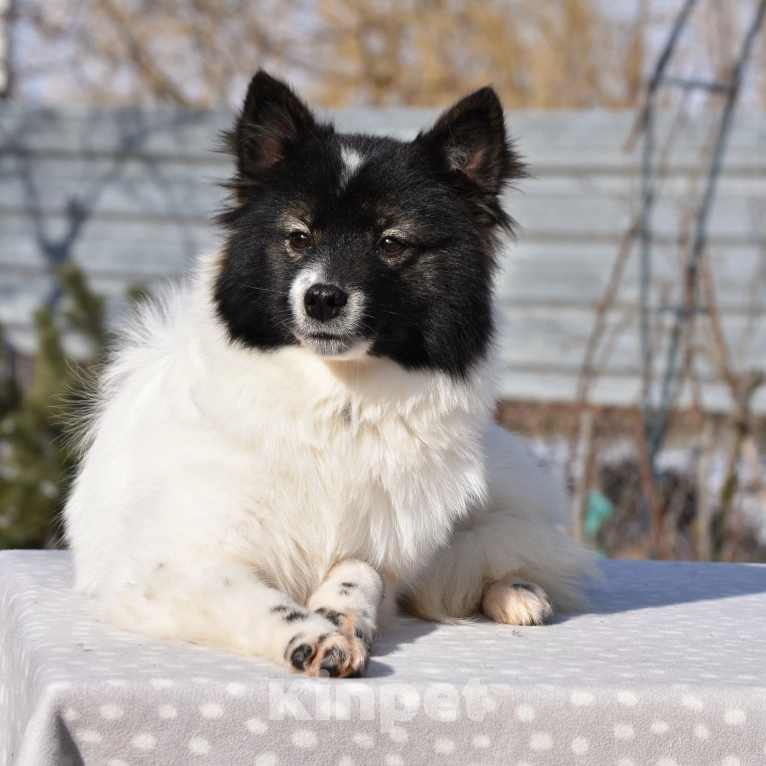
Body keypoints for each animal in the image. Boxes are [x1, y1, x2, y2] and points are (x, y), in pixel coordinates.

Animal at [64, 70, 592, 680]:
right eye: (299, 237)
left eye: (390, 242)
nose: (321, 298)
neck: (337, 398)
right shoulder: (169, 568)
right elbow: (256, 596)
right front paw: (316, 634)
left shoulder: (381, 538)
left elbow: (361, 569)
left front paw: (343, 614)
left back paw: (515, 592)